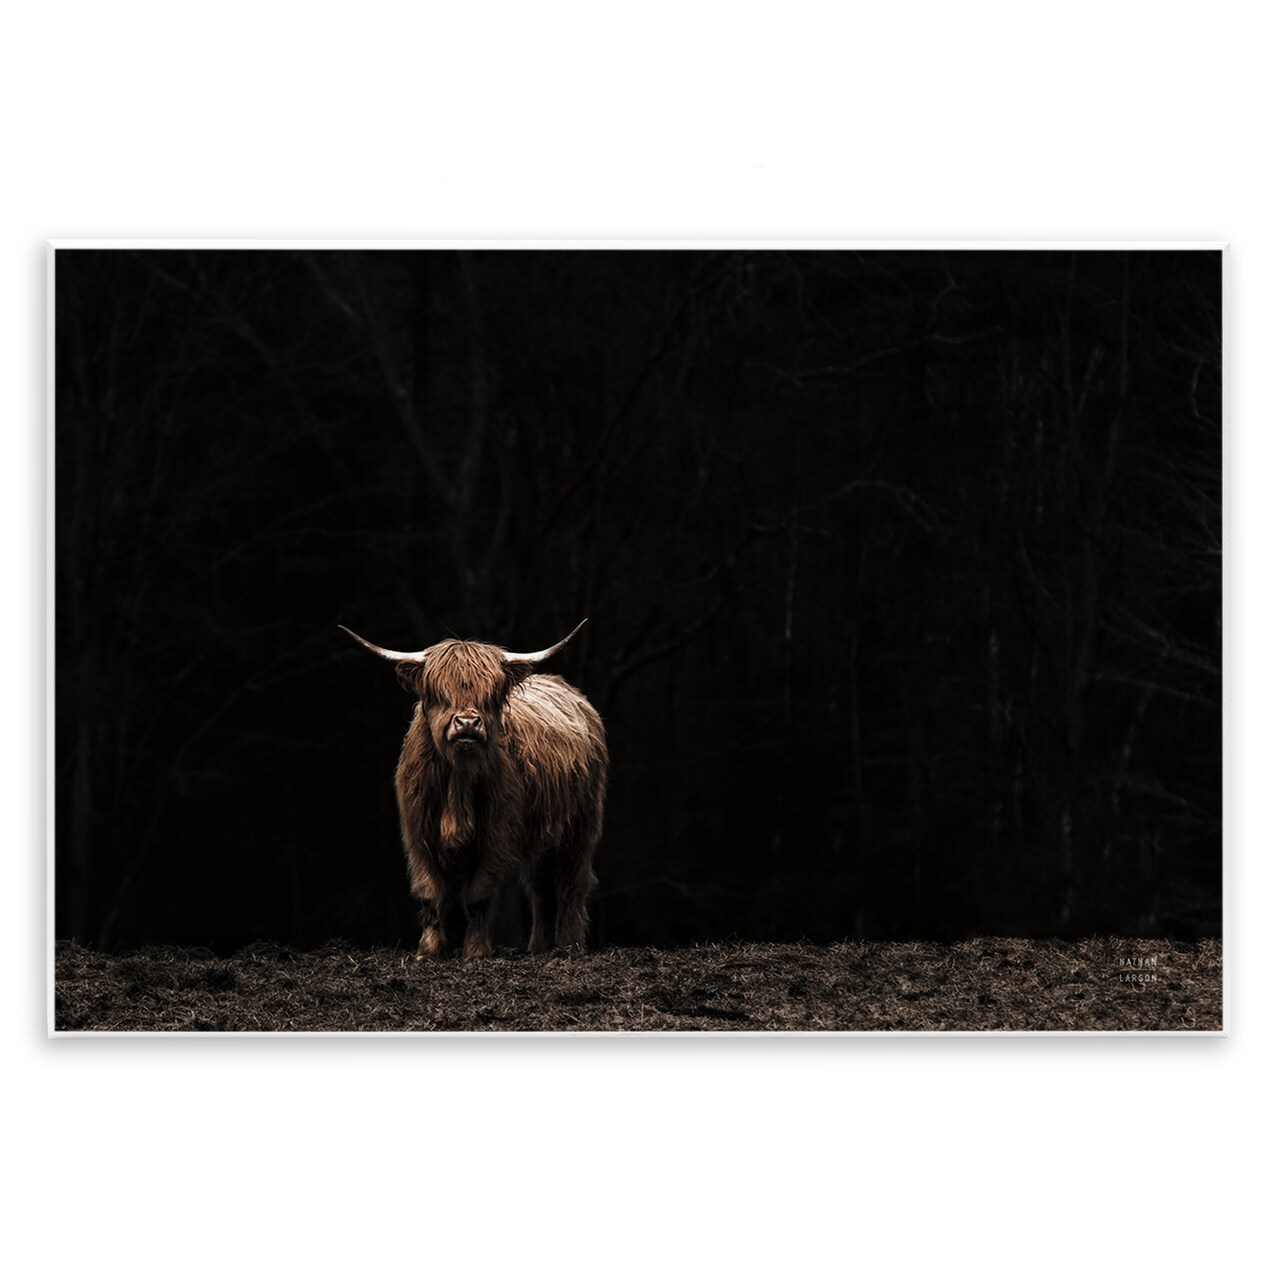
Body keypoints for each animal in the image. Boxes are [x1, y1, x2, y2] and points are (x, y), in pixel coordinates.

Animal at [340, 618, 607, 960]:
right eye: (439, 692)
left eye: (491, 694)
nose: (467, 723)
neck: (459, 781)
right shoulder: (418, 835)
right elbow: (430, 893)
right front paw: (427, 951)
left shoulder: (494, 836)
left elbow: (479, 895)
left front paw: (476, 952)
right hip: (543, 834)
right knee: (541, 889)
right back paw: (537, 947)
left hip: (580, 827)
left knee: (571, 884)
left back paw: (570, 945)